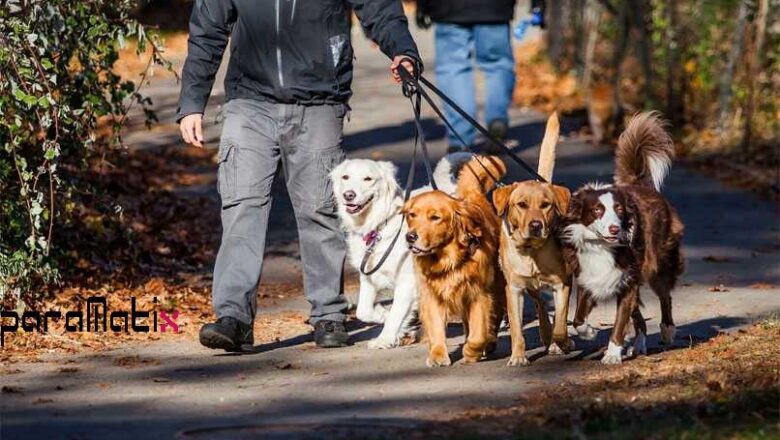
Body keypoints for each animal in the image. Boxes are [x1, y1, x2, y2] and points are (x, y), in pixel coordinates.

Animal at [330, 153, 470, 348]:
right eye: (345, 177)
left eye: (368, 179)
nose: (348, 195)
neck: (379, 225)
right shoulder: (368, 276)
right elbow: (363, 311)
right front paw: (382, 314)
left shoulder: (407, 281)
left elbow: (396, 314)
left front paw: (384, 339)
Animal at [402, 155, 506, 368]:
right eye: (412, 215)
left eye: (435, 217)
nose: (410, 237)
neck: (448, 260)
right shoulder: (432, 295)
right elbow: (436, 327)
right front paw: (437, 354)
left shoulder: (478, 295)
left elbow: (478, 333)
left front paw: (471, 352)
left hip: (497, 286)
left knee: (494, 317)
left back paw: (489, 342)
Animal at [494, 111, 572, 366]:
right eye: (521, 205)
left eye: (546, 205)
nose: (536, 225)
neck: (531, 251)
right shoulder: (514, 290)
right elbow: (517, 329)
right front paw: (518, 356)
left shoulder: (562, 284)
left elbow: (561, 321)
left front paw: (563, 342)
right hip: (529, 288)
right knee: (539, 304)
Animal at [560, 112, 684, 364]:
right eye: (597, 210)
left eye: (619, 209)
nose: (615, 229)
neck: (601, 246)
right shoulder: (589, 276)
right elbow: (578, 318)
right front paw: (589, 332)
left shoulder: (628, 281)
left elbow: (619, 321)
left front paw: (612, 354)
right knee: (639, 318)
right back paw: (637, 345)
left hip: (659, 262)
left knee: (665, 296)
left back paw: (667, 331)